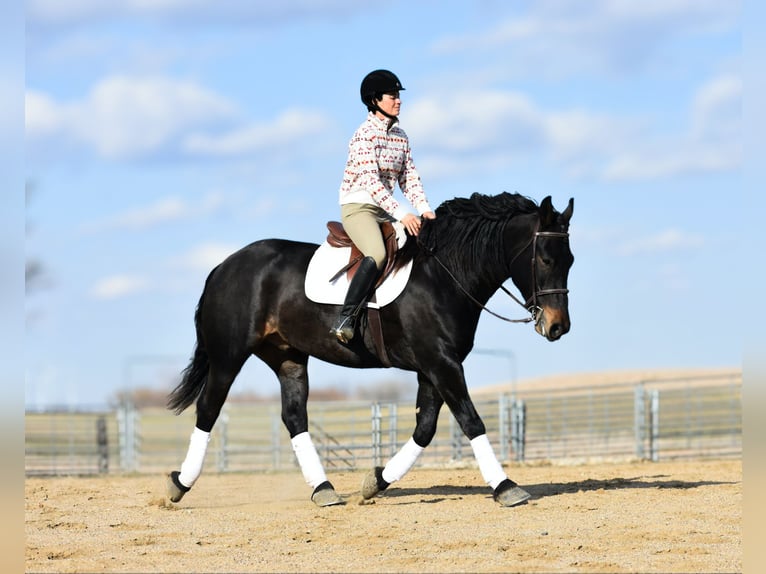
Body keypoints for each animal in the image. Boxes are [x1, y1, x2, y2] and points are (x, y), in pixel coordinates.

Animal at [166, 192, 574, 507]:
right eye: (545, 259)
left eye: (569, 260)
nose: (558, 327)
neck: (443, 275)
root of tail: (224, 266)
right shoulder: (441, 363)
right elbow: (471, 421)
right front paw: (506, 487)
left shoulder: (433, 367)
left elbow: (425, 429)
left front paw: (375, 482)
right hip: (228, 357)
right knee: (208, 409)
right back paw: (179, 484)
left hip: (287, 357)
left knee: (295, 417)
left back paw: (324, 490)